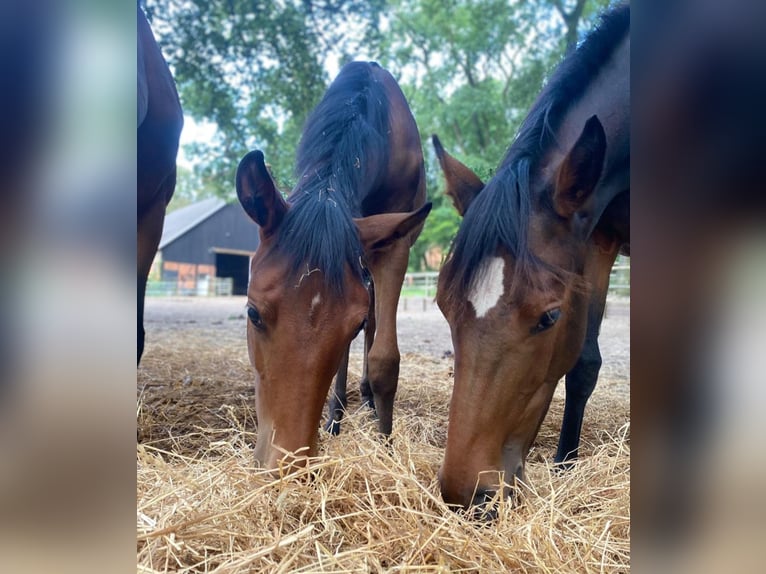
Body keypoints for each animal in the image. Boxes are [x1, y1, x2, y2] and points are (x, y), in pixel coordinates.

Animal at [236, 61, 431, 471]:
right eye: (252, 313)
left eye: (349, 323)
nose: (287, 465)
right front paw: (335, 416)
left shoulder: (396, 247)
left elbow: (384, 357)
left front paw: (386, 447)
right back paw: (337, 412)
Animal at [432, 4, 629, 515]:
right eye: (443, 306)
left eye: (549, 317)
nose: (469, 496)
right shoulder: (596, 242)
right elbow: (583, 364)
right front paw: (565, 464)